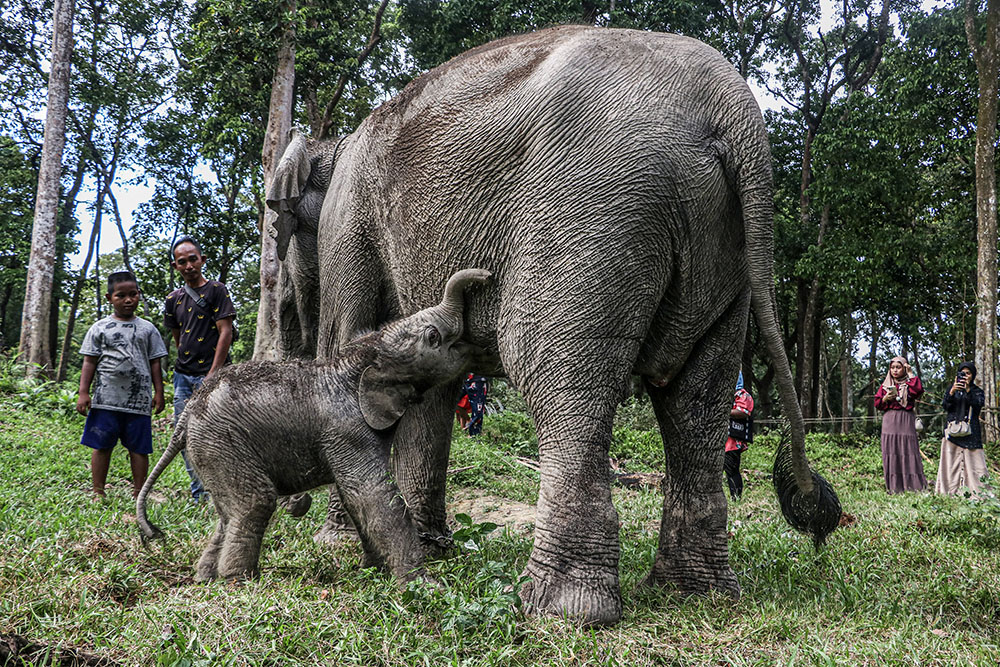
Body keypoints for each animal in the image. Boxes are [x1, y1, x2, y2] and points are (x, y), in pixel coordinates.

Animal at [135, 268, 494, 588]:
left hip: (209, 451)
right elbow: (372, 493)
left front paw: (374, 571)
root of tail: (185, 417)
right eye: (433, 337)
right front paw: (425, 586)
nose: (487, 276)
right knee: (254, 503)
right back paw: (239, 582)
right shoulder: (345, 428)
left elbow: (355, 498)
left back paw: (206, 578)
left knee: (228, 513)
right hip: (222, 444)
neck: (361, 356)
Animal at [268, 24, 844, 628]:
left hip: (595, 211)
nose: (293, 504)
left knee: (554, 372)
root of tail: (734, 111)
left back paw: (559, 608)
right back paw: (694, 593)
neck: (333, 146)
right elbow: (429, 383)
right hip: (723, 254)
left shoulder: (348, 222)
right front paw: (427, 548)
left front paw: (338, 545)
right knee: (696, 399)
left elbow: (351, 347)